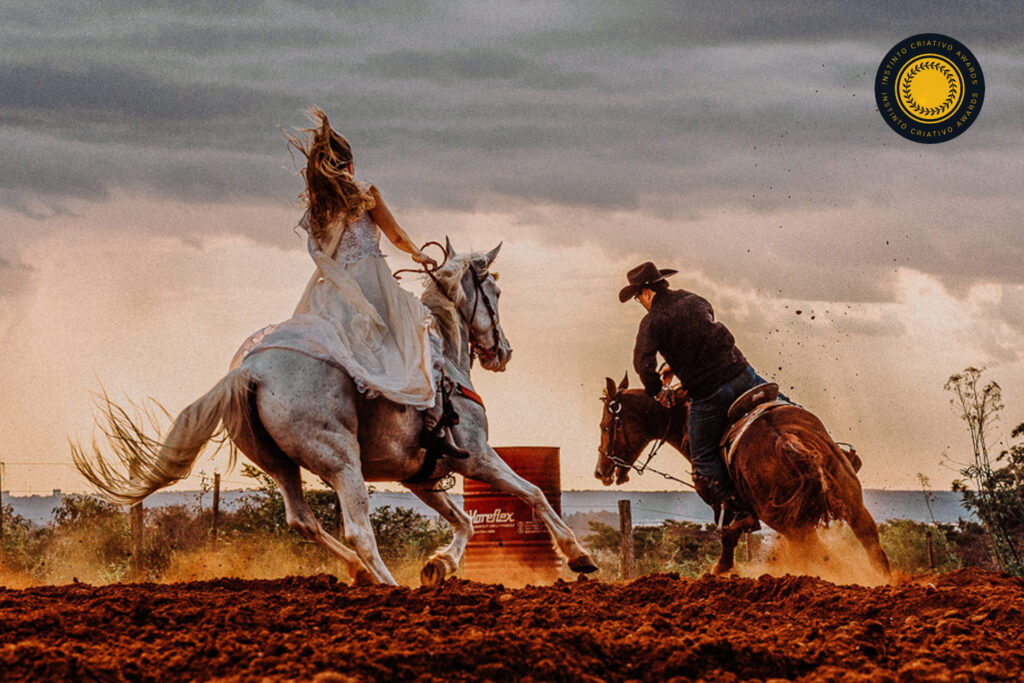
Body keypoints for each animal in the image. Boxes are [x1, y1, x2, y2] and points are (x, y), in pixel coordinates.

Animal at [72, 241, 598, 589]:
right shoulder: (478, 456)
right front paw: (579, 556)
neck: (444, 360)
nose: (503, 352)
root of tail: (250, 371)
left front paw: (439, 566)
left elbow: (466, 521)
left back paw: (357, 572)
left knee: (303, 521)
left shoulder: (420, 476)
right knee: (358, 528)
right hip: (343, 462)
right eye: (495, 292)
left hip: (281, 464)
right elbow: (532, 494)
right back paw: (386, 584)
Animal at [593, 374, 888, 577]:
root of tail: (786, 439)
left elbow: (728, 534)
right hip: (851, 504)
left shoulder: (722, 502)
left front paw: (719, 569)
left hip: (787, 522)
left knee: (821, 554)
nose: (600, 471)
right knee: (871, 545)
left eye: (606, 426)